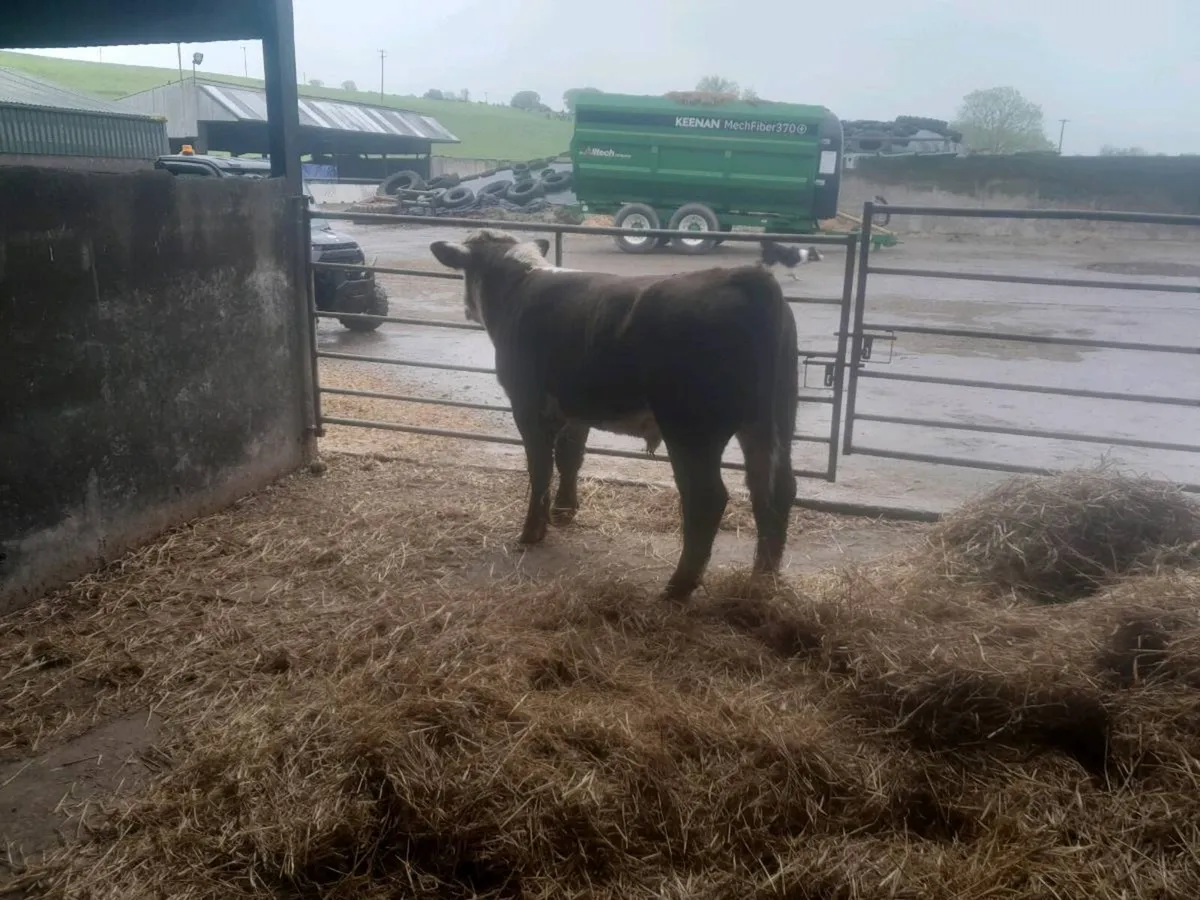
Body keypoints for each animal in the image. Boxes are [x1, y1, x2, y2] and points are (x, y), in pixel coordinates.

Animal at [429, 229, 799, 601]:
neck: (520, 284)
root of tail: (744, 276)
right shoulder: (575, 410)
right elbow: (570, 458)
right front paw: (564, 512)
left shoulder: (528, 404)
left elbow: (540, 468)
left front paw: (533, 530)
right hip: (773, 422)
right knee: (775, 489)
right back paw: (763, 579)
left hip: (691, 430)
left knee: (707, 499)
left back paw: (677, 588)